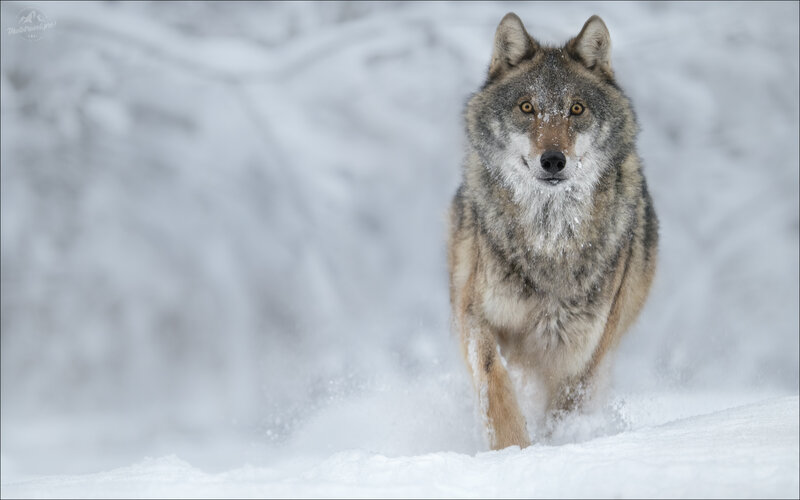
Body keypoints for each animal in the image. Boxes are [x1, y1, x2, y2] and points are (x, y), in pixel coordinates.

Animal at [447, 13, 658, 450]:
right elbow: (493, 379)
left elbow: (564, 413)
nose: (553, 160)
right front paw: (513, 449)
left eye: (576, 109)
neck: (550, 240)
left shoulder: (582, 354)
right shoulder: (476, 315)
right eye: (527, 107)